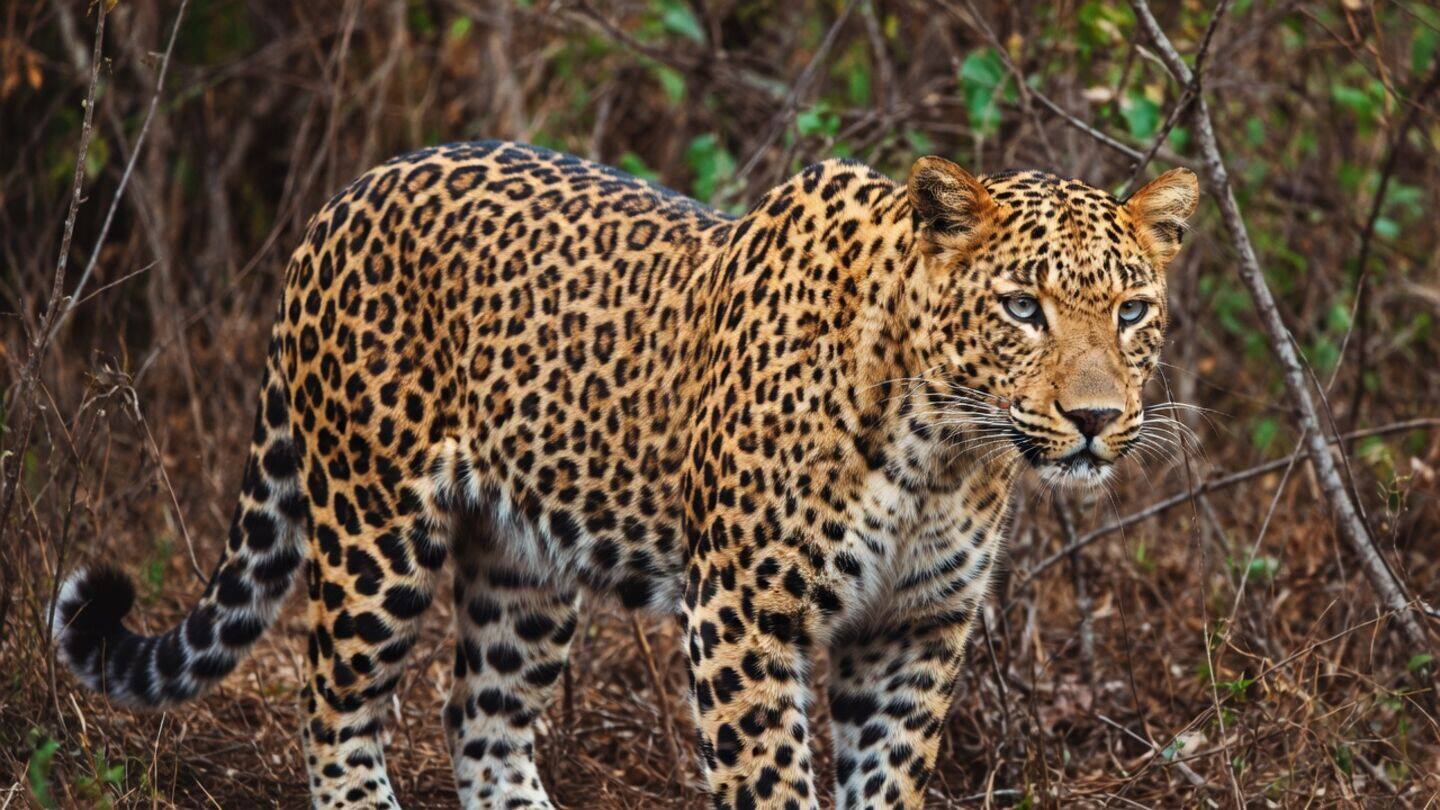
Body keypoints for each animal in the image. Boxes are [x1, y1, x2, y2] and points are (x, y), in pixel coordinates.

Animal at [53, 139, 1198, 809]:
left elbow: (885, 782)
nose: (1097, 421)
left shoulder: (916, 628)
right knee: (333, 706)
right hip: (374, 531)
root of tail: (345, 196)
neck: (944, 450)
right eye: (1022, 308)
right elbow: (774, 786)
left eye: (1134, 311)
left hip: (522, 565)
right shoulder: (743, 616)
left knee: (480, 720)